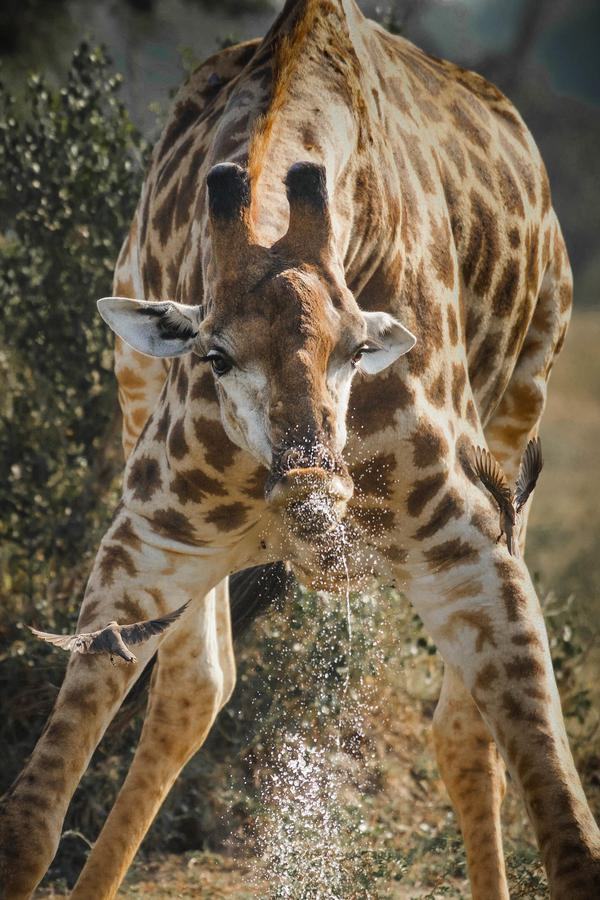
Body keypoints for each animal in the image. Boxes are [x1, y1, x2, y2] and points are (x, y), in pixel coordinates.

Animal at [1, 0, 599, 897]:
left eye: (359, 348)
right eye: (214, 355)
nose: (312, 495)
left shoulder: (468, 546)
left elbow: (570, 839)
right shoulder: (150, 541)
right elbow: (30, 822)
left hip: (521, 424)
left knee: (461, 732)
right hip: (139, 418)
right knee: (197, 687)